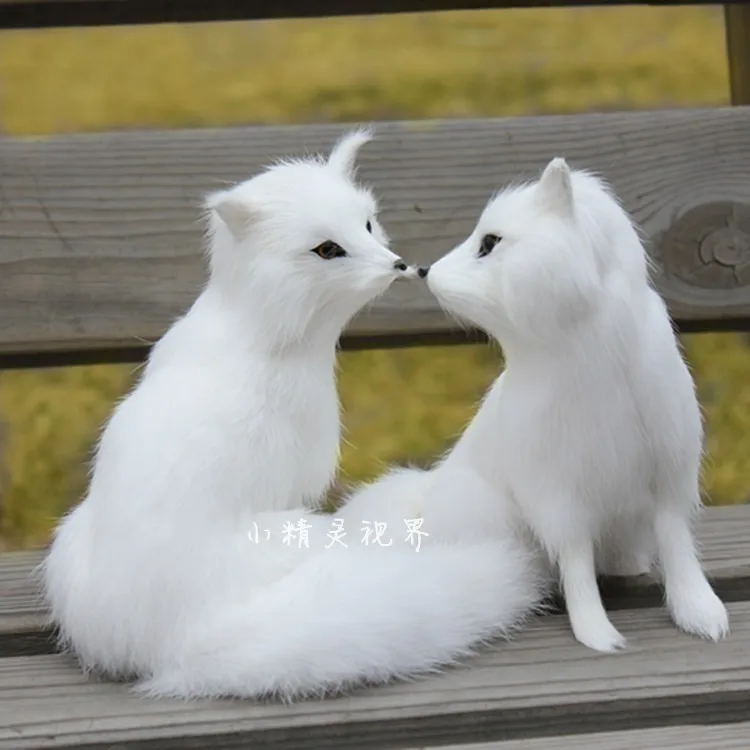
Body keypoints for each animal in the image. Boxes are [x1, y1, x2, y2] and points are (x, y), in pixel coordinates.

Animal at [41, 129, 547, 700]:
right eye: (327, 249)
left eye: (366, 224)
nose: (400, 265)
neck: (261, 336)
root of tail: (173, 643)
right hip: (308, 529)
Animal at [415, 157, 730, 652]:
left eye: (490, 242)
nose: (426, 270)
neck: (592, 348)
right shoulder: (560, 499)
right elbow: (577, 564)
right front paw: (599, 635)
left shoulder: (668, 477)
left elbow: (679, 550)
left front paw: (703, 615)